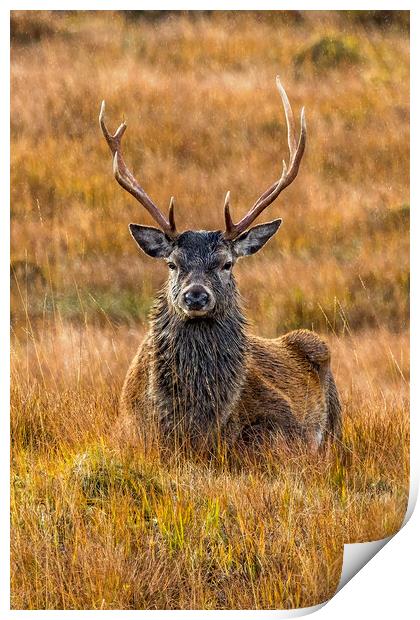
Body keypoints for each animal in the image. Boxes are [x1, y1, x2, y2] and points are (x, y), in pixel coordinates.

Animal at [99, 77, 342, 456]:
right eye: (172, 264)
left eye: (227, 263)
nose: (196, 296)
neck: (193, 425)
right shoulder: (125, 429)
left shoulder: (287, 427)